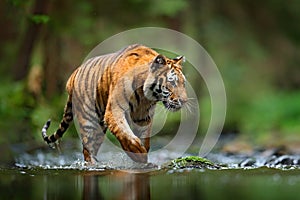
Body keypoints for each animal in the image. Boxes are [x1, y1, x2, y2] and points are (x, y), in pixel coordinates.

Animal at [41, 44, 188, 165]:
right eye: (172, 82)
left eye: (183, 83)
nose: (185, 101)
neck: (144, 95)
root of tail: (73, 76)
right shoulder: (114, 110)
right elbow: (124, 133)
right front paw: (139, 153)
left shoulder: (143, 117)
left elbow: (144, 137)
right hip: (88, 121)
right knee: (87, 150)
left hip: (99, 128)